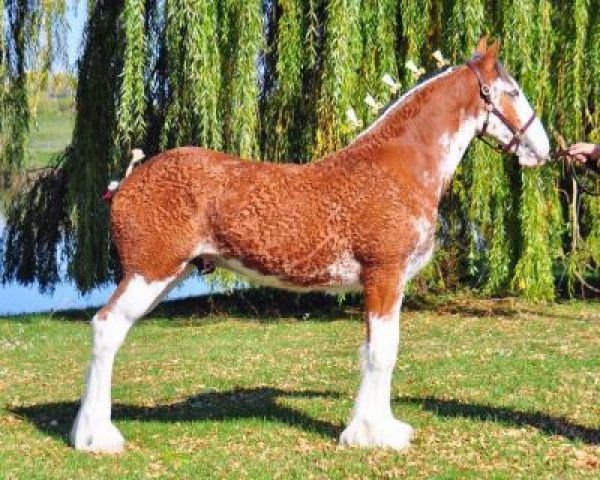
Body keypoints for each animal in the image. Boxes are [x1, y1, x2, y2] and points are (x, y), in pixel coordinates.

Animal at [69, 38, 548, 454]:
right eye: (513, 91)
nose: (542, 148)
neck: (396, 168)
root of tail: (126, 183)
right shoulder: (384, 276)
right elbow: (382, 352)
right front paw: (373, 435)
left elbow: (376, 350)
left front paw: (377, 427)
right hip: (150, 272)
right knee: (106, 328)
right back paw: (97, 438)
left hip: (168, 274)